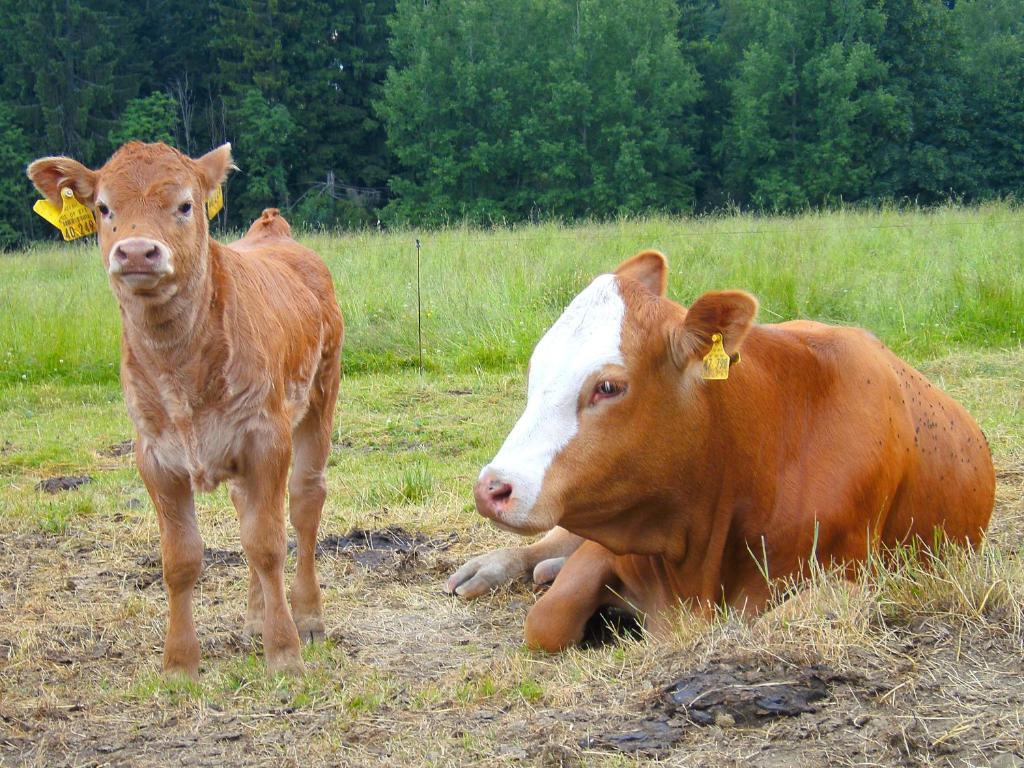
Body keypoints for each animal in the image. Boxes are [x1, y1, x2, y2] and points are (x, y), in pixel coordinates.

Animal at [29, 144, 344, 679]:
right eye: (103, 208)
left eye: (185, 205)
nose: (137, 251)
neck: (181, 370)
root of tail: (275, 234)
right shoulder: (155, 456)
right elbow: (181, 558)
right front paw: (179, 662)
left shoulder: (266, 438)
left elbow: (267, 543)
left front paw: (284, 652)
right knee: (246, 510)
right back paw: (255, 618)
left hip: (320, 395)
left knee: (304, 504)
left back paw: (307, 616)